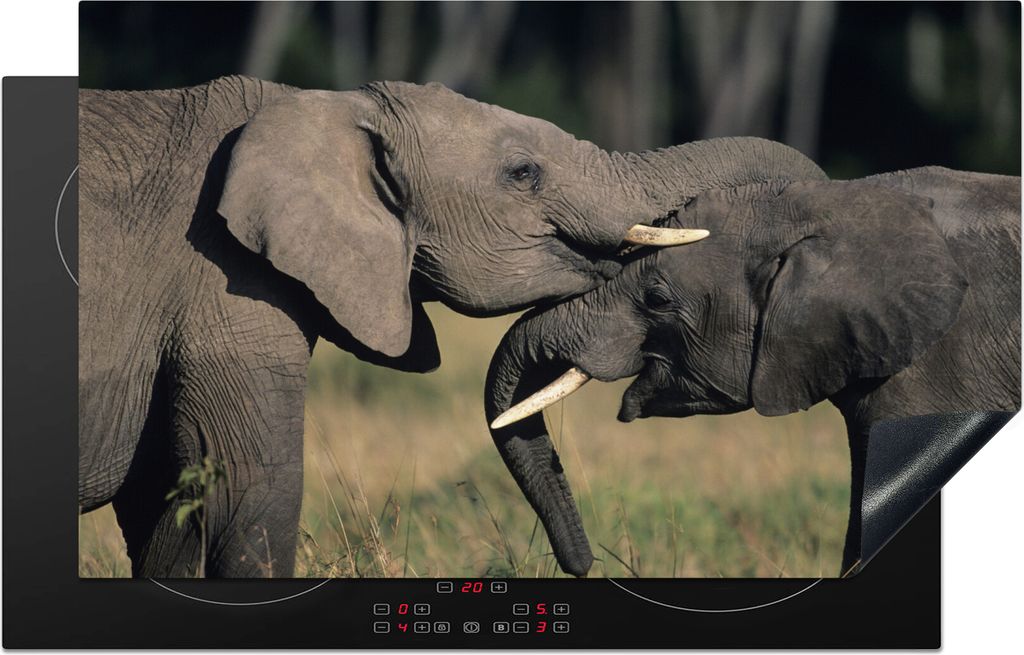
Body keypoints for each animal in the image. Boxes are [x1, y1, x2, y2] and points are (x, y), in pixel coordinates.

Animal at [79, 75, 827, 577]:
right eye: (523, 173)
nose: (583, 565)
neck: (320, 105)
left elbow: (166, 507)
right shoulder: (222, 284)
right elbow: (248, 489)